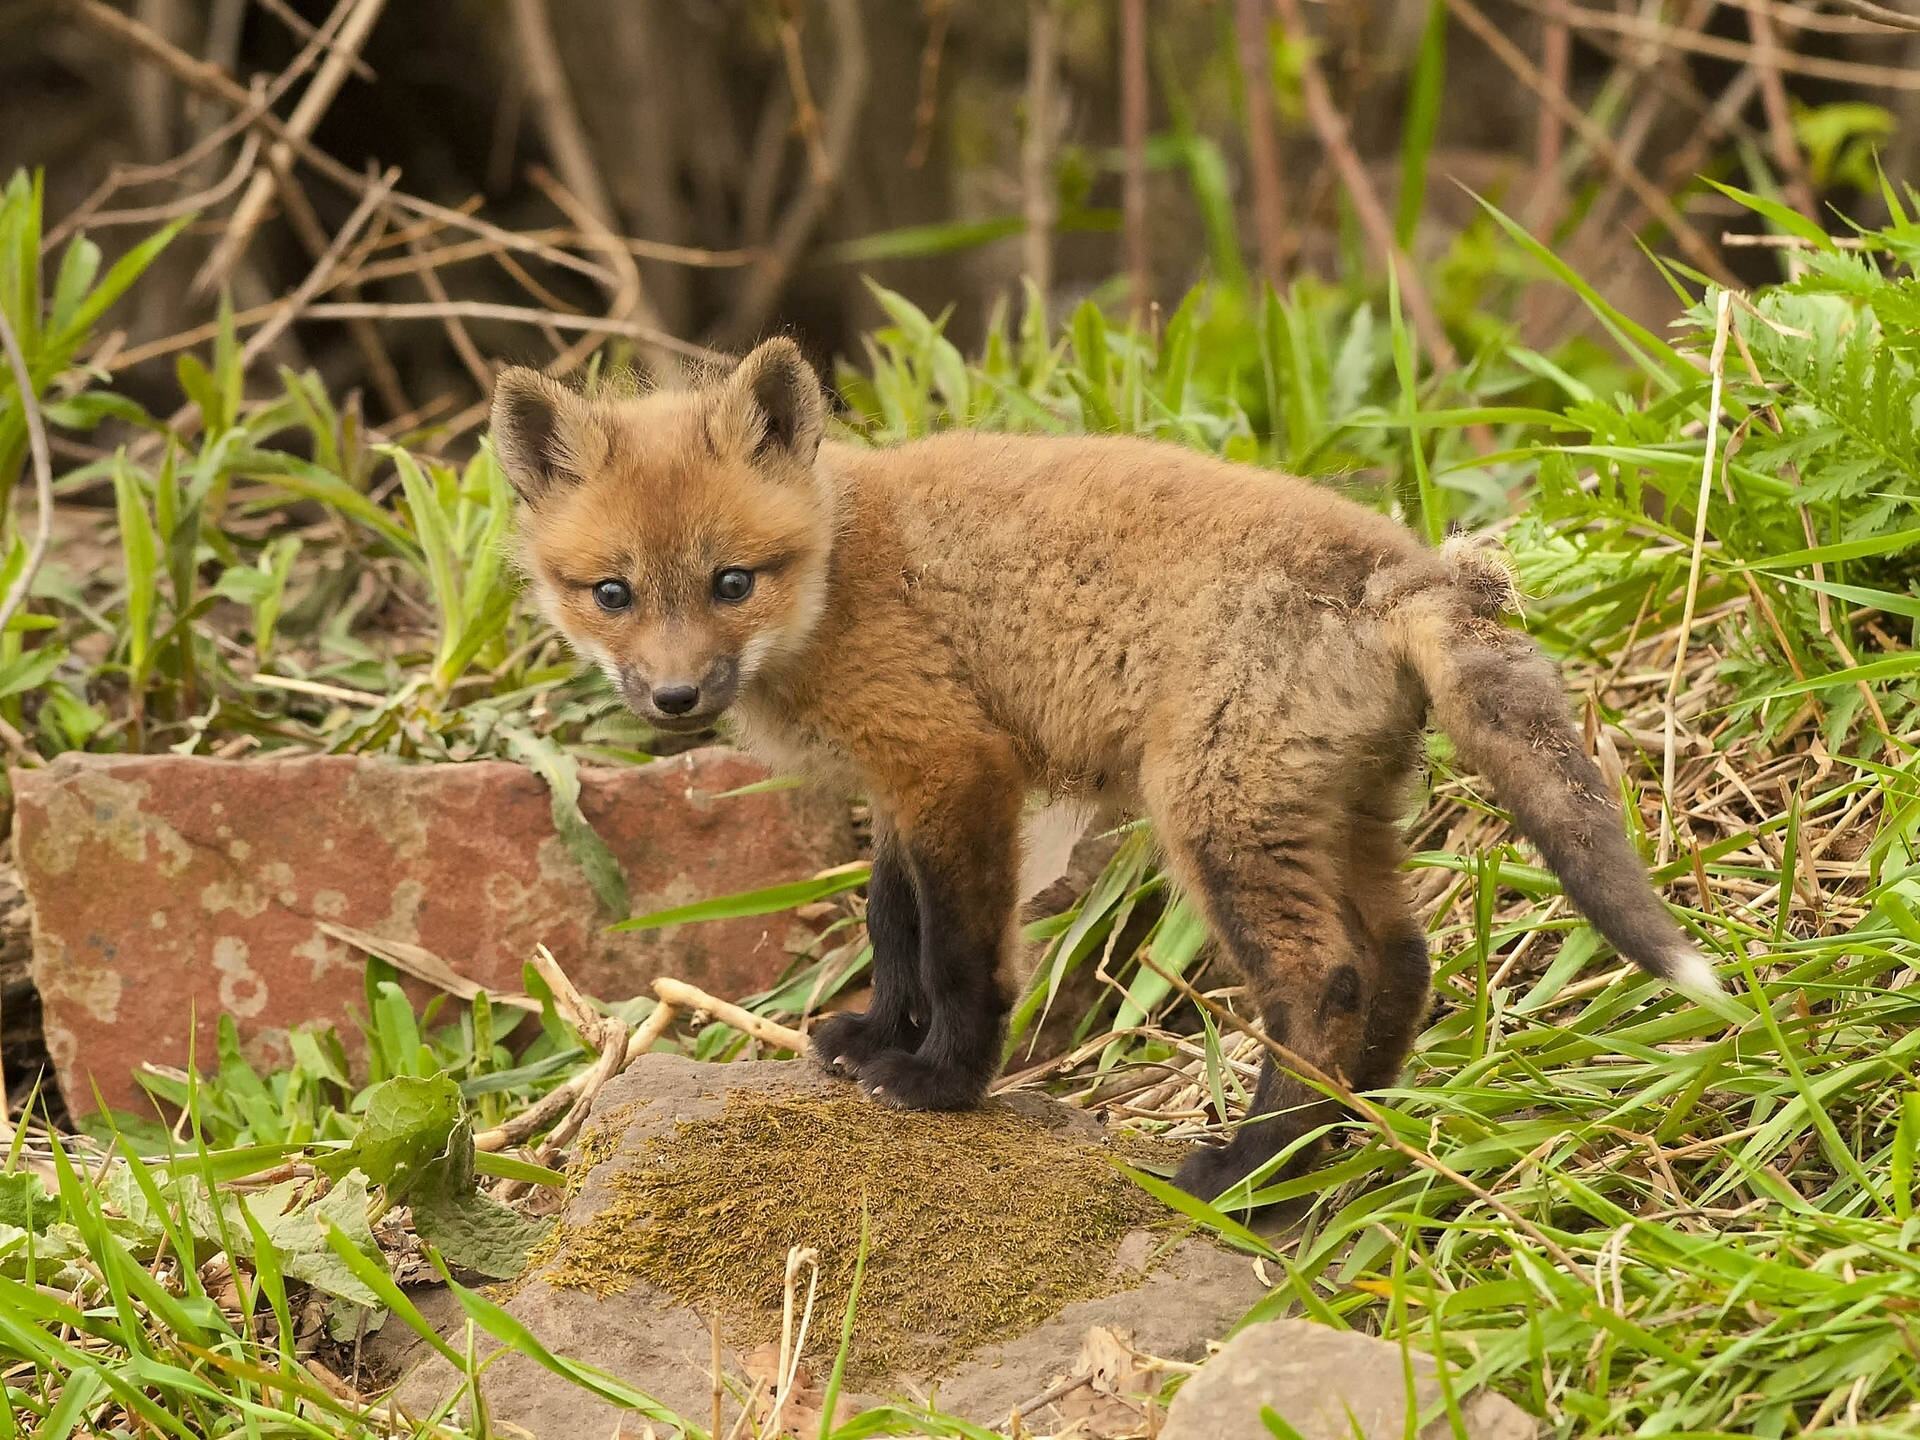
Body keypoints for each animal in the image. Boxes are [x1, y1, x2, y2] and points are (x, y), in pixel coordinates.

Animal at [490, 337, 1718, 1202]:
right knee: (1403, 961)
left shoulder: (957, 765)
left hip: (1211, 817)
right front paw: (875, 1039)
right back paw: (1348, 1141)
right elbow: (894, 927)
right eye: (613, 593)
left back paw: (1249, 1177)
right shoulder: (902, 785)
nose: (674, 699)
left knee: (1325, 977)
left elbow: (959, 954)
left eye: (732, 582)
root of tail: (1401, 573)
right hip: (1336, 810)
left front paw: (944, 1083)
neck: (840, 573)